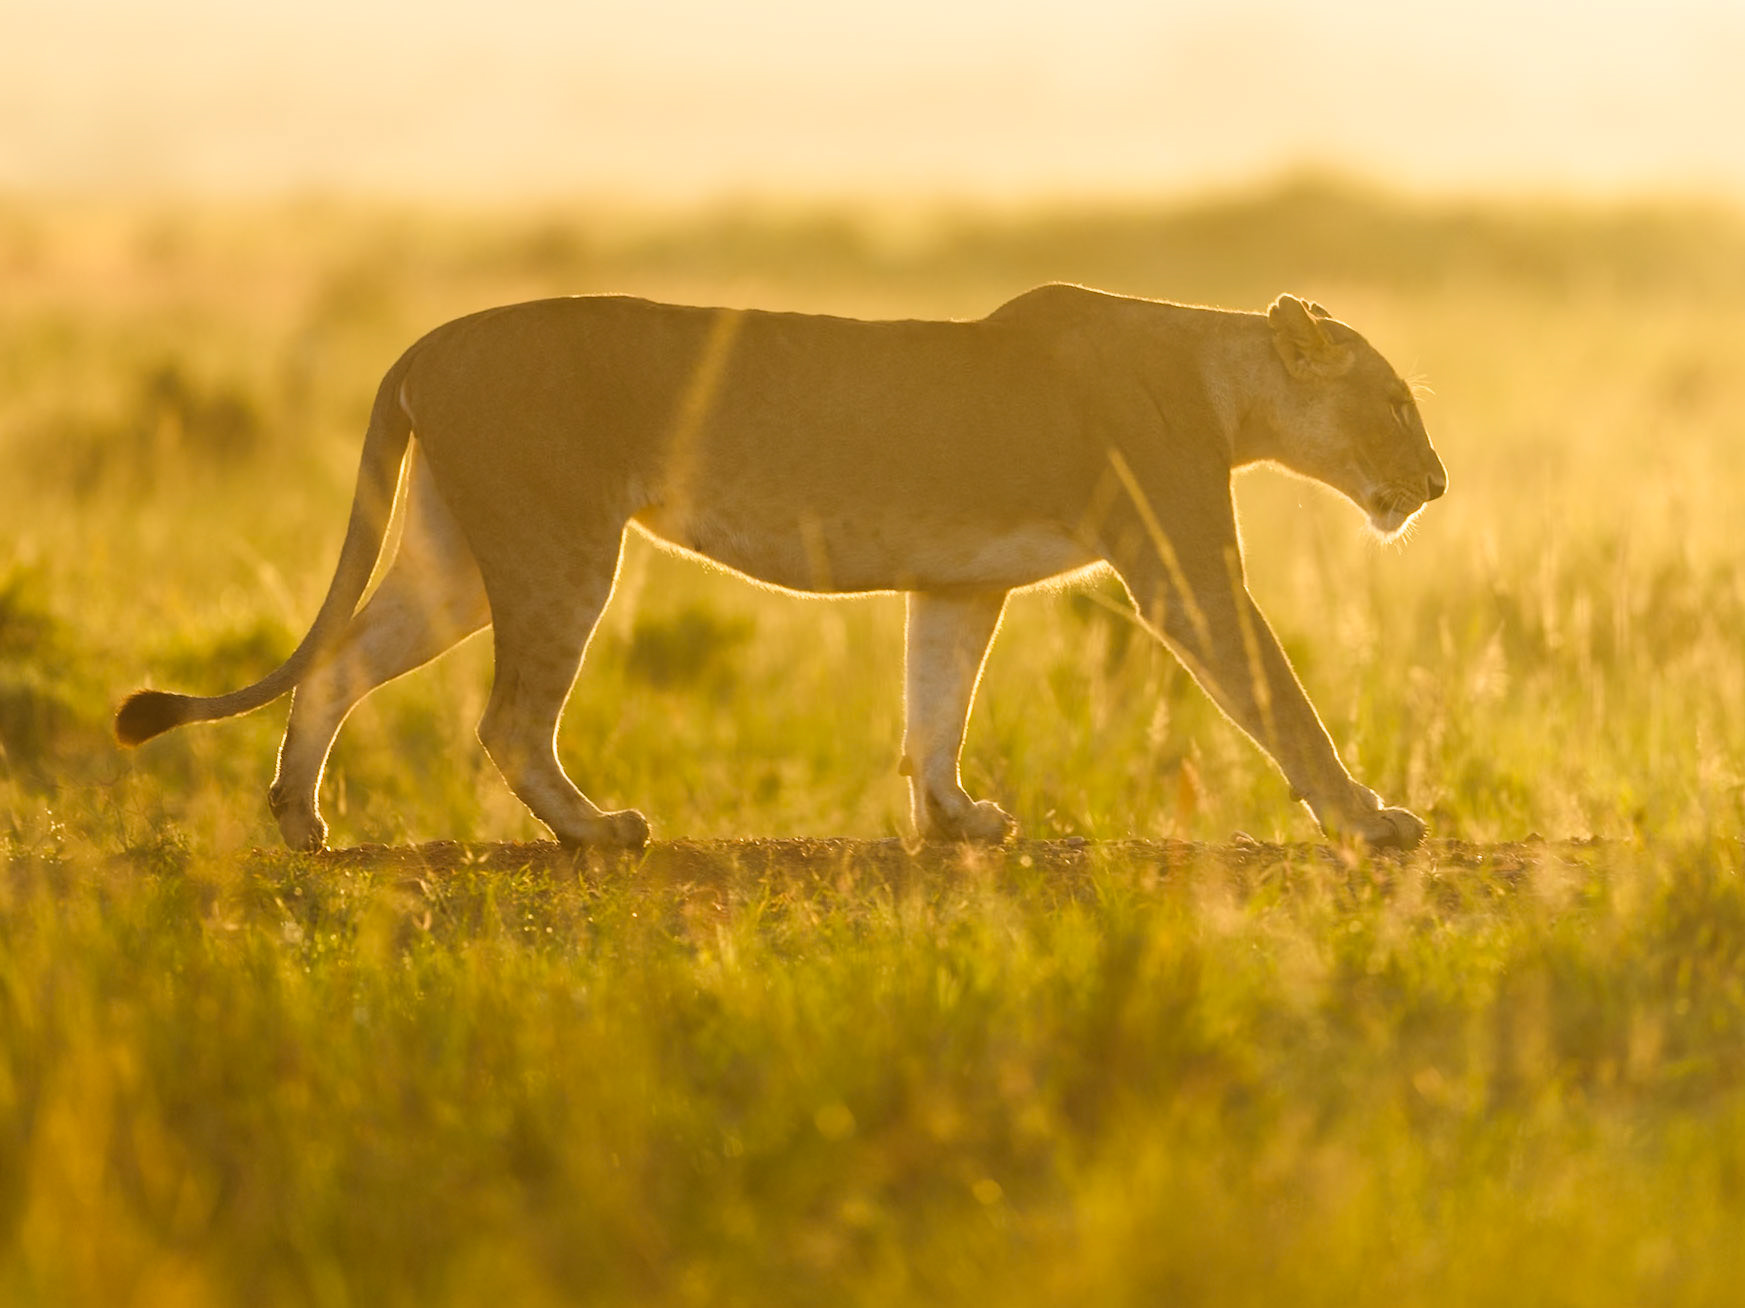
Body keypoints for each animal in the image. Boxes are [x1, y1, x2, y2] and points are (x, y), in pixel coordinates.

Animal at [116, 284, 1446, 851]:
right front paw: (1368, 819)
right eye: (1393, 400)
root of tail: (425, 341)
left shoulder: (958, 583)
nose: (1434, 484)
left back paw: (299, 821)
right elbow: (1276, 697)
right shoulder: (1179, 565)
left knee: (342, 662)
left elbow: (935, 704)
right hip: (559, 542)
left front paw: (954, 821)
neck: (1222, 378)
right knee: (505, 720)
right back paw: (596, 832)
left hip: (457, 553)